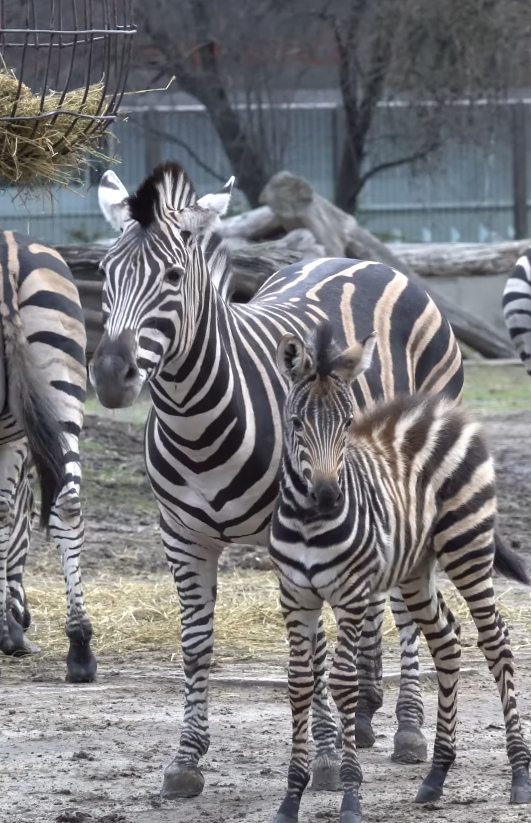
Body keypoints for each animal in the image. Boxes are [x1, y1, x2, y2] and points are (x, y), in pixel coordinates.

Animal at [91, 161, 466, 800]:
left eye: (172, 275)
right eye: (102, 272)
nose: (114, 376)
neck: (197, 424)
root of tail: (359, 260)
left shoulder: (293, 538)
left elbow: (311, 652)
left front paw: (326, 757)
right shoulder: (181, 538)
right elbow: (196, 646)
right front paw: (186, 759)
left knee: (404, 607)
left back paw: (408, 729)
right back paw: (367, 716)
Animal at [270, 324, 531, 823]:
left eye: (347, 423)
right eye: (295, 424)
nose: (328, 497)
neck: (310, 522)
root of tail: (442, 410)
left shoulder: (352, 594)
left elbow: (343, 682)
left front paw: (350, 796)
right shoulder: (295, 597)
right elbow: (299, 684)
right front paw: (290, 799)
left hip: (467, 547)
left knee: (497, 643)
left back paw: (519, 775)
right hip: (415, 568)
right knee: (446, 641)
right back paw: (436, 775)